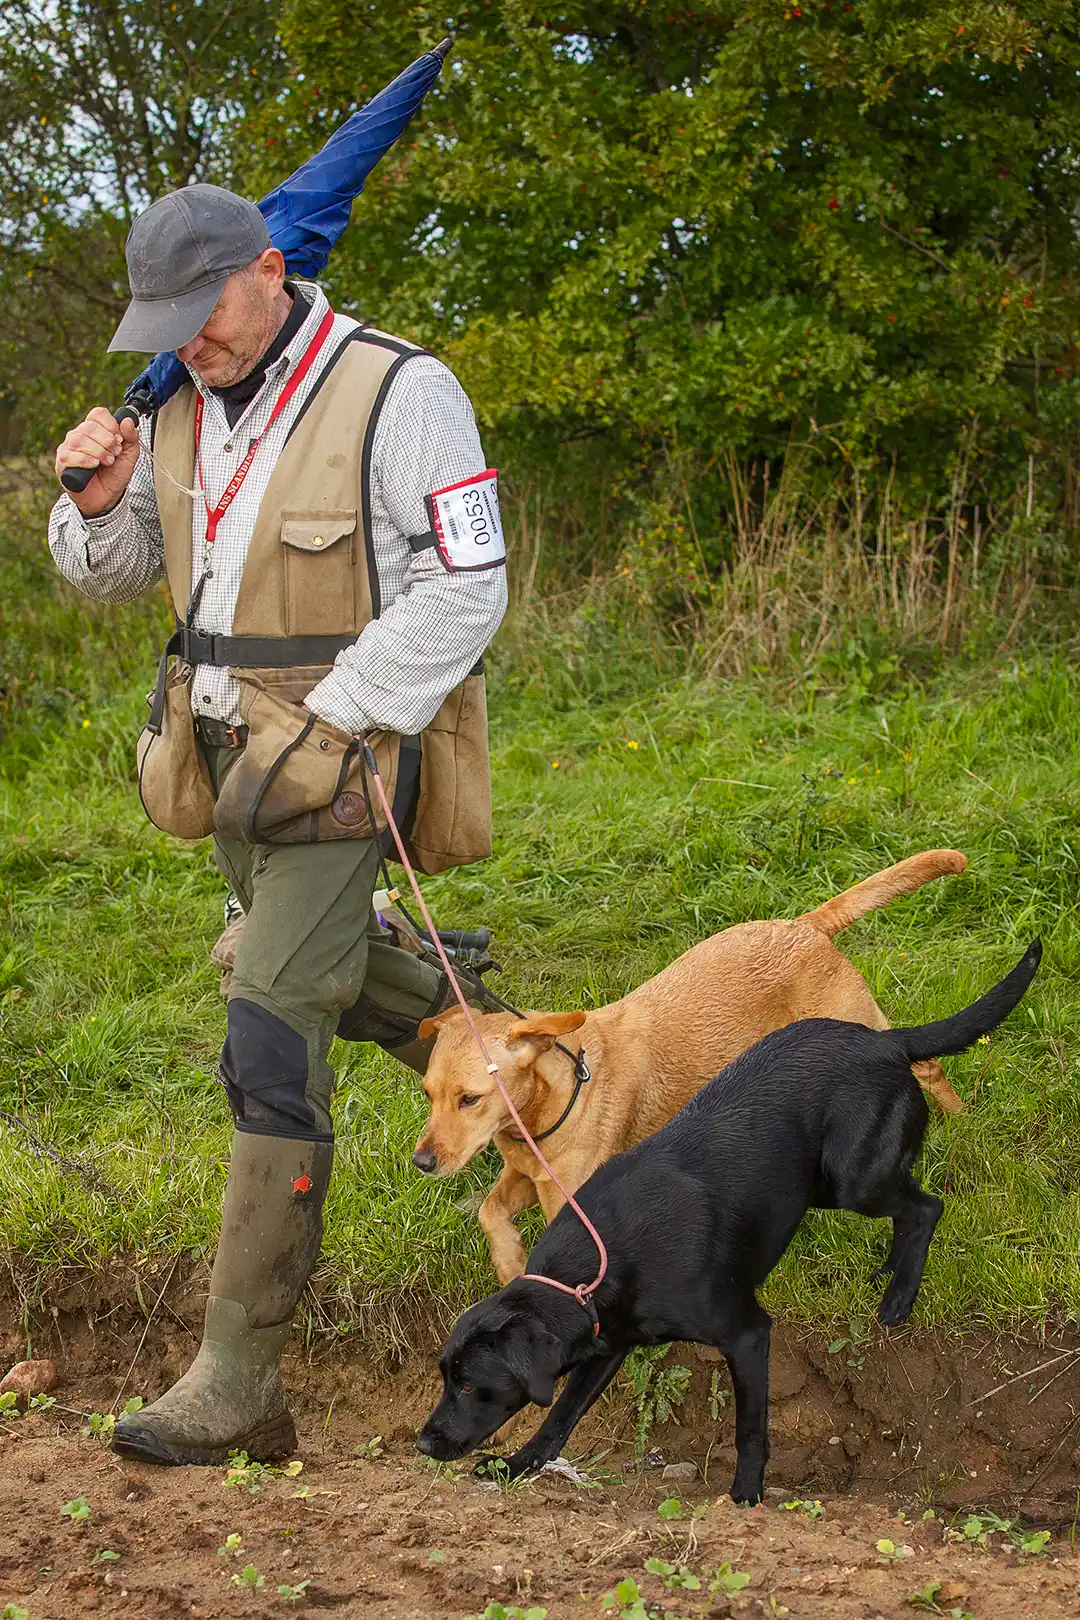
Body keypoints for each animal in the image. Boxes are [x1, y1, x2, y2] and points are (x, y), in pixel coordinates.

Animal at [412, 850, 968, 1282]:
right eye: (427, 1095)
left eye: (470, 1099)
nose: (421, 1162)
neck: (552, 1101)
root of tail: (803, 925)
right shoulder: (525, 1179)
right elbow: (490, 1212)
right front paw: (509, 1260)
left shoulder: (569, 1201)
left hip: (860, 1024)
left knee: (930, 1067)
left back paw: (960, 1122)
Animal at [417, 940, 1041, 1505]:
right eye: (444, 1375)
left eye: (472, 1384)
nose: (422, 1443)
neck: (602, 1263)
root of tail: (887, 1040)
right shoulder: (606, 1345)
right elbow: (557, 1420)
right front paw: (516, 1467)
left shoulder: (746, 1333)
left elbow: (751, 1427)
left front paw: (746, 1495)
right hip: (822, 1185)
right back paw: (887, 1274)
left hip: (852, 1179)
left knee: (926, 1207)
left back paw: (899, 1298)